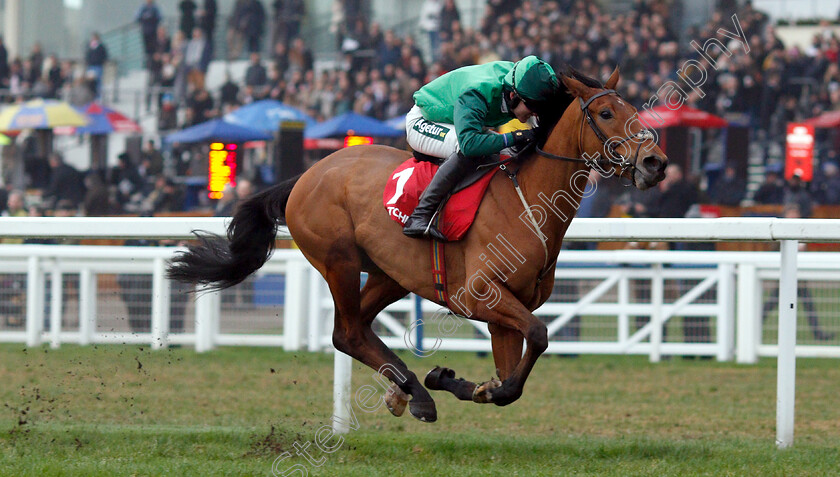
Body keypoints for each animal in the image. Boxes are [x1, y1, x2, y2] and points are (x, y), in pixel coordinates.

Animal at [169, 66, 668, 420]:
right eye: (606, 114)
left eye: (634, 111)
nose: (656, 162)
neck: (527, 200)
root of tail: (307, 175)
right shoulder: (477, 295)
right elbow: (538, 340)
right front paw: (450, 380)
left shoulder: (506, 312)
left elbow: (512, 376)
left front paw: (465, 382)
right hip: (339, 260)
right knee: (347, 332)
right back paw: (417, 396)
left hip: (391, 273)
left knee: (357, 329)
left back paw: (404, 390)